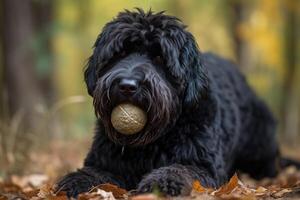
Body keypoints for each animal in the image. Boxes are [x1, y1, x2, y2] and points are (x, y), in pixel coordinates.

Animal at [56, 9, 282, 197]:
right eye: (119, 54)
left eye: (159, 57)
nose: (127, 85)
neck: (151, 141)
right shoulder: (105, 162)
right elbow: (93, 173)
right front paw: (75, 182)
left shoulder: (202, 165)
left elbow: (178, 170)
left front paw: (162, 184)